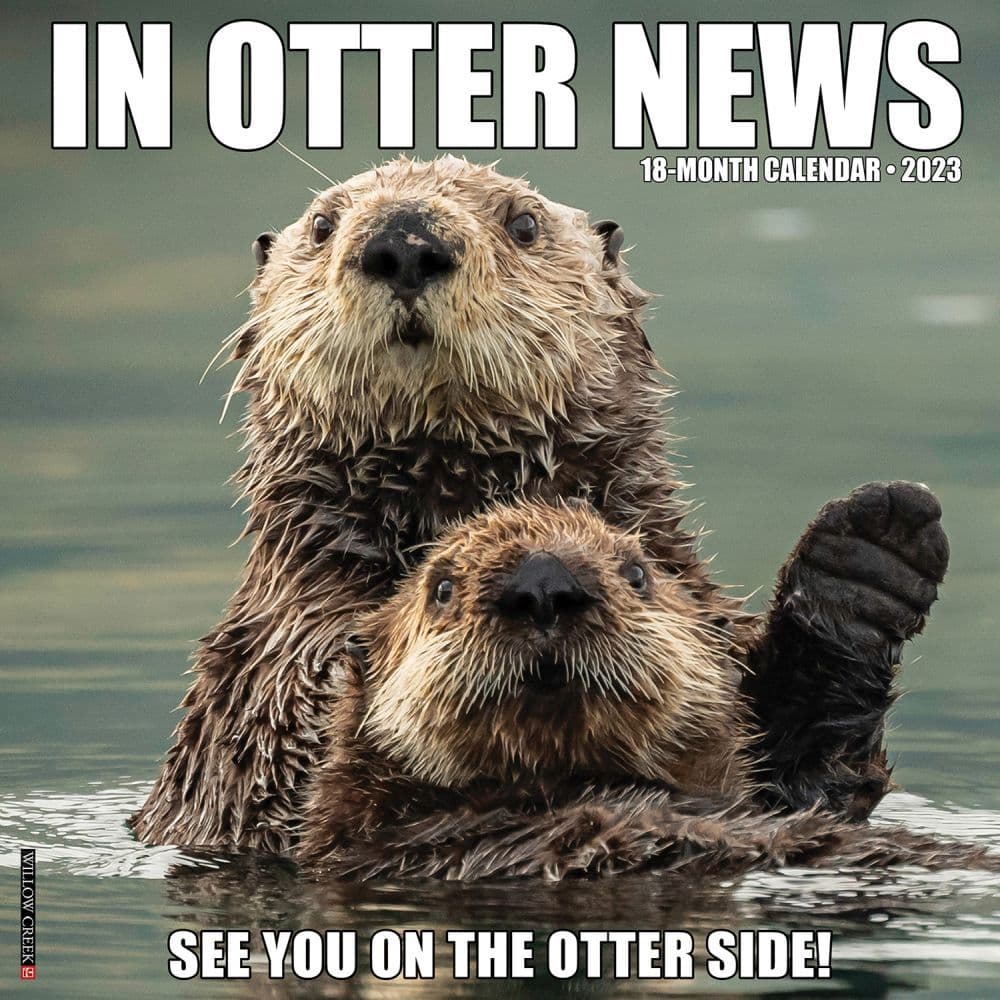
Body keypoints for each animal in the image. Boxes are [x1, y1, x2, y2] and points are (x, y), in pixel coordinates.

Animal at [131, 156, 947, 852]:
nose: (404, 242)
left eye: (523, 223)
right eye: (324, 224)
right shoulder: (266, 674)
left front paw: (866, 555)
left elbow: (802, 777)